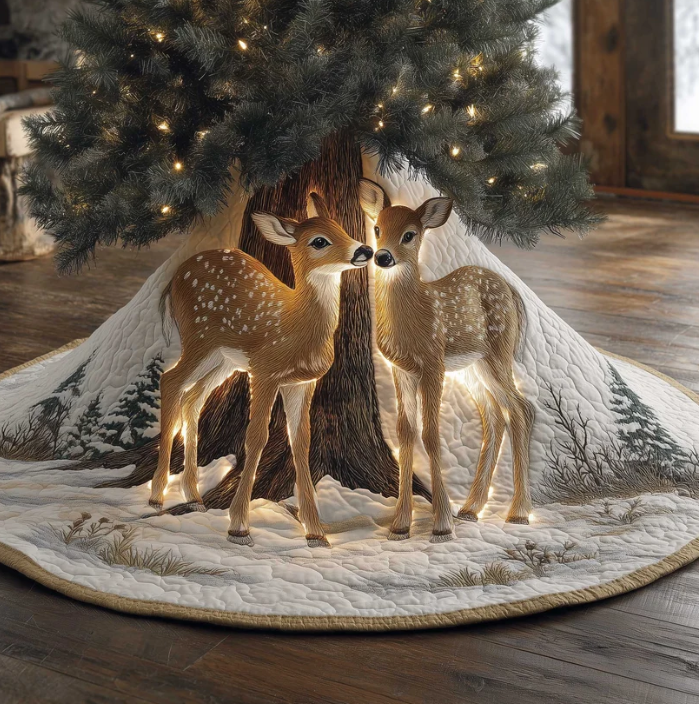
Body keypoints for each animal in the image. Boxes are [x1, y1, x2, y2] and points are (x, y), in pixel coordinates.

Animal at [152, 192, 373, 547]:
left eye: (342, 228)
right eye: (319, 241)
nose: (364, 250)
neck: (297, 326)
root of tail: (174, 279)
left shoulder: (303, 382)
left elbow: (301, 441)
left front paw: (315, 532)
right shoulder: (265, 371)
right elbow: (256, 437)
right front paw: (239, 526)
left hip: (223, 360)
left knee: (193, 397)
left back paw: (193, 496)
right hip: (199, 339)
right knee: (170, 380)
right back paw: (157, 495)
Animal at [359, 179, 534, 542]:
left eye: (410, 234)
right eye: (377, 228)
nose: (382, 257)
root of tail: (512, 292)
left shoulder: (432, 362)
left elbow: (431, 433)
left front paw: (441, 525)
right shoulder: (401, 369)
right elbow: (405, 432)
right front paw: (400, 525)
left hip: (497, 352)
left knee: (521, 409)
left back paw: (519, 512)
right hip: (471, 368)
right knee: (495, 415)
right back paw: (471, 508)